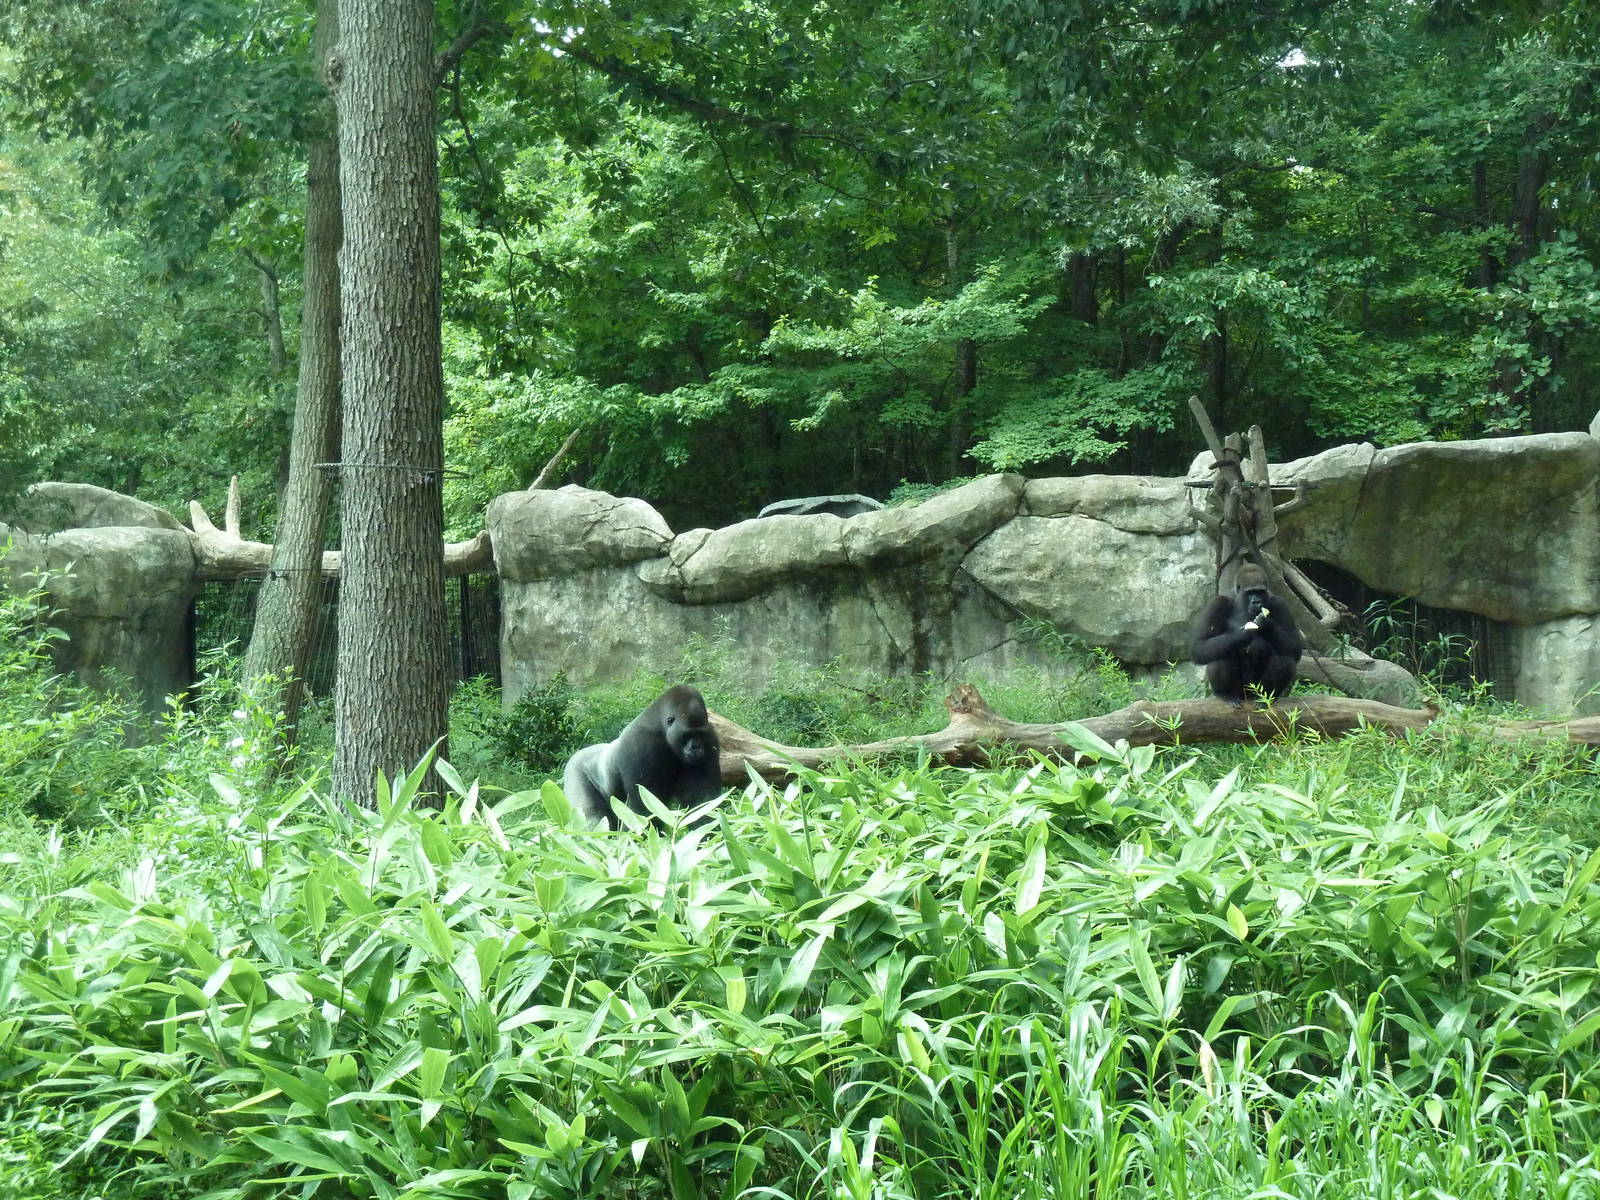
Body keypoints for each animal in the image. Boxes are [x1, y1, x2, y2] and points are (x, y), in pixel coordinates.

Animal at [560, 684, 722, 828]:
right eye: (688, 735)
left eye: (700, 734)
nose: (696, 747)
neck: (660, 727)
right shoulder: (640, 745)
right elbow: (641, 809)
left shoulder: (711, 737)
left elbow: (702, 803)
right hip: (575, 771)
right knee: (593, 818)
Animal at [1190, 563, 1304, 706]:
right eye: (1250, 593)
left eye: (1260, 592)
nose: (1257, 602)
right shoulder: (1218, 602)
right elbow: (1200, 646)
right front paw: (1243, 634)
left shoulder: (1280, 604)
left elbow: (1295, 647)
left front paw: (1266, 626)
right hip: (1240, 691)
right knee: (1220, 653)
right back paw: (1225, 694)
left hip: (1256, 690)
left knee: (1285, 658)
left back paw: (1266, 698)